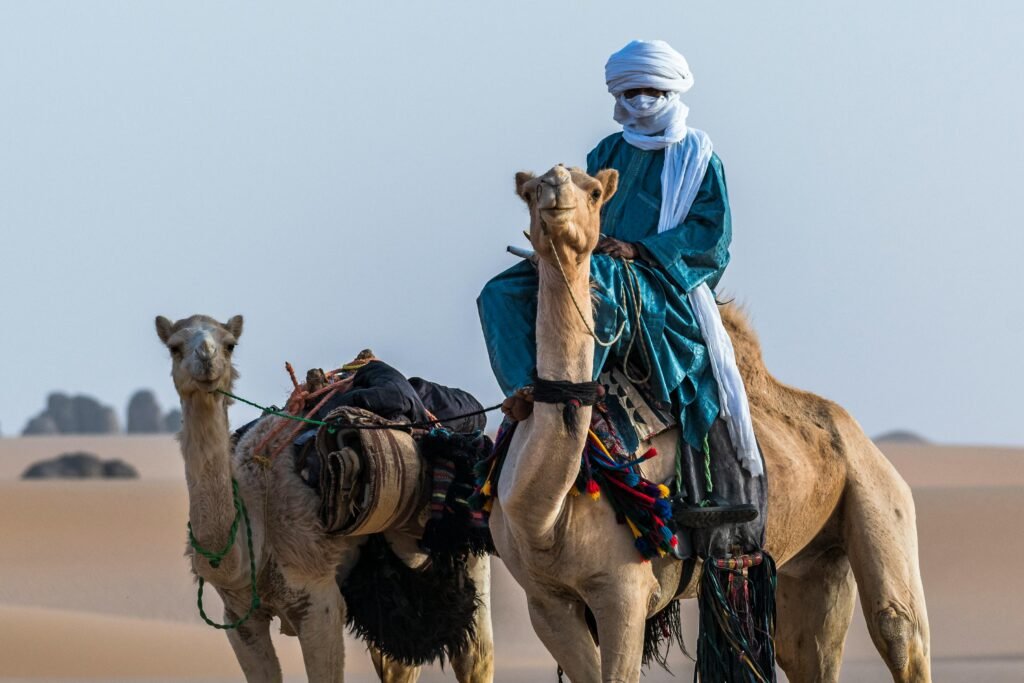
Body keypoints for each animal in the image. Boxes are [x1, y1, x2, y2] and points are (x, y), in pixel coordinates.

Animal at [155, 314, 493, 683]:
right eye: (174, 347)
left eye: (230, 344)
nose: (206, 358)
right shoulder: (239, 615)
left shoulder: (318, 601)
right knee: (399, 659)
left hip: (467, 545)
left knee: (475, 657)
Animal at [486, 165, 931, 682]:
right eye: (533, 190)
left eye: (594, 192)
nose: (557, 191)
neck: (546, 514)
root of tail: (857, 435)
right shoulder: (547, 603)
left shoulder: (624, 592)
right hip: (812, 561)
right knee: (806, 650)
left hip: (879, 495)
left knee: (900, 629)